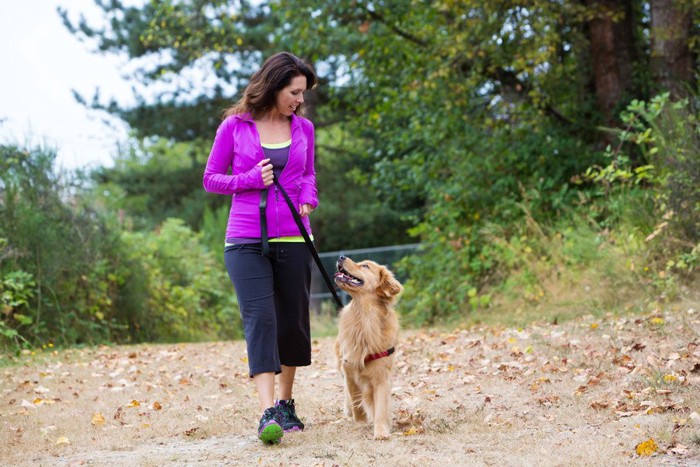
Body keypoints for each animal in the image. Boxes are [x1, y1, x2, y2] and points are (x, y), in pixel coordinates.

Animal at [334, 254, 404, 440]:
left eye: (365, 266)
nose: (341, 256)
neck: (365, 317)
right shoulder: (349, 368)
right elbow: (356, 399)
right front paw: (360, 422)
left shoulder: (381, 375)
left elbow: (380, 407)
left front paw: (381, 430)